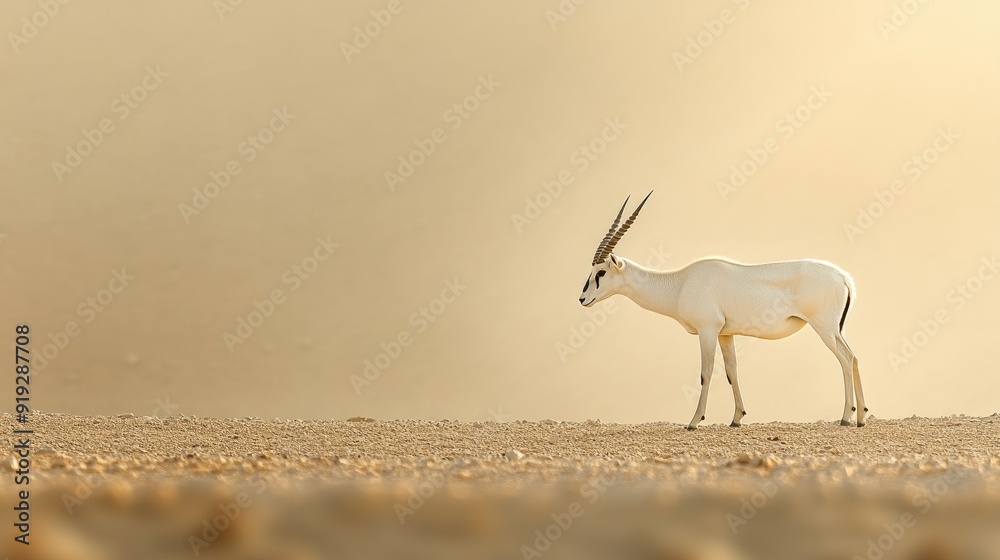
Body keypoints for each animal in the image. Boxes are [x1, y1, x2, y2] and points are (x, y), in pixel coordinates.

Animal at [579, 192, 866, 430]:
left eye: (601, 272)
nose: (583, 299)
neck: (681, 283)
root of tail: (843, 277)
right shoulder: (726, 334)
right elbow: (731, 371)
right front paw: (736, 419)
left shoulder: (707, 331)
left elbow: (705, 373)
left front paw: (694, 422)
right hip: (834, 330)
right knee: (853, 357)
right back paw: (861, 416)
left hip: (824, 327)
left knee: (845, 358)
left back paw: (847, 418)